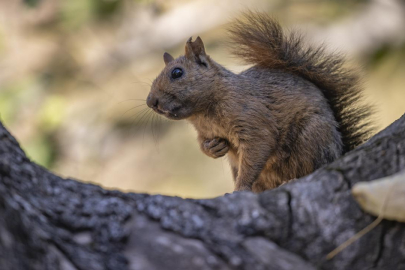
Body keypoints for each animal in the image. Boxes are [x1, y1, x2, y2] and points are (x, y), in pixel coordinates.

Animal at [145, 12, 372, 192]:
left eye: (177, 73)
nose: (150, 101)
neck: (204, 114)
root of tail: (340, 148)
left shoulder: (253, 119)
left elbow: (258, 147)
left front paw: (240, 189)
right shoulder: (204, 132)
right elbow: (203, 144)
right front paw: (213, 148)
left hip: (311, 138)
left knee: (311, 167)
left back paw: (290, 181)